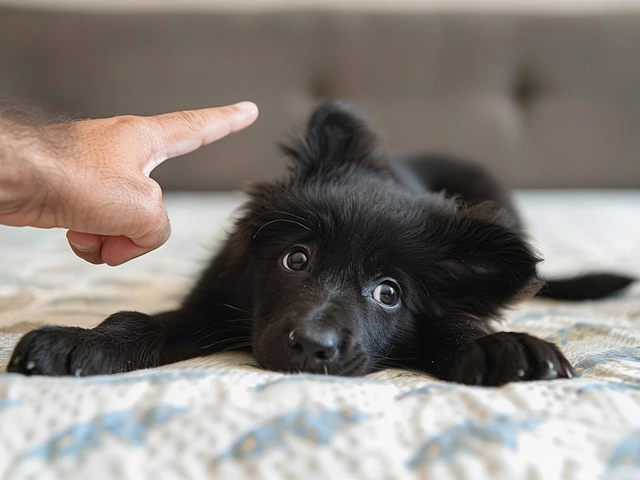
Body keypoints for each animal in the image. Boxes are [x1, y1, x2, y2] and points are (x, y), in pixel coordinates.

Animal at [6, 102, 636, 386]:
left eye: (389, 293)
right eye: (296, 258)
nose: (312, 347)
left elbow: (456, 323)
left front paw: (500, 346)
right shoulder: (215, 300)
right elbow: (144, 319)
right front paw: (83, 341)